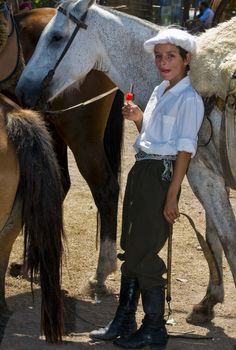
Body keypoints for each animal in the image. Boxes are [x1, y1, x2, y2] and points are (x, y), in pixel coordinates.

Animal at [16, 0, 236, 324]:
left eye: (56, 37)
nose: (22, 90)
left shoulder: (202, 175)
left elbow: (228, 239)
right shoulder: (211, 174)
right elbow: (213, 236)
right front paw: (209, 301)